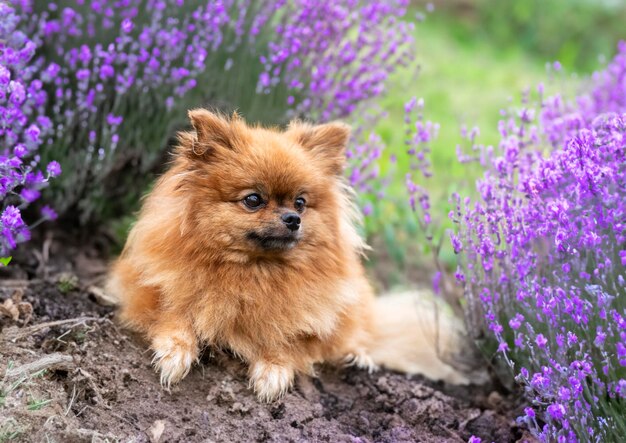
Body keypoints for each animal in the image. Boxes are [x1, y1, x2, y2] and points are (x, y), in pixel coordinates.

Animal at [107, 108, 468, 402]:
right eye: (253, 200)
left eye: (300, 203)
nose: (293, 219)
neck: (254, 272)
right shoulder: (157, 292)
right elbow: (174, 316)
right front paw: (174, 354)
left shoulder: (302, 319)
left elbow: (287, 339)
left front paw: (273, 371)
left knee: (360, 332)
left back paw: (358, 356)